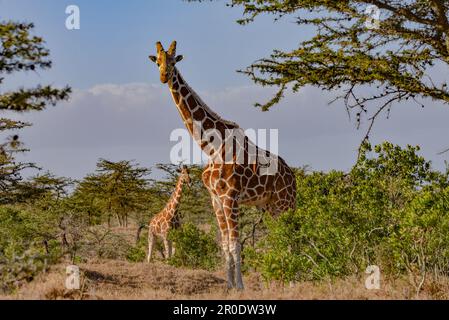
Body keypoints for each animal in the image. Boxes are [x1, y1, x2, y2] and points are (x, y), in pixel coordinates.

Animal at [148, 40, 298, 290]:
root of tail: (293, 176)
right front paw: (229, 286)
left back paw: (294, 281)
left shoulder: (231, 197)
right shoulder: (215, 199)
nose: (163, 76)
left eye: (173, 61)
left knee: (292, 236)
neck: (211, 147)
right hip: (270, 206)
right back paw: (284, 280)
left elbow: (236, 244)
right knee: (281, 237)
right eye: (157, 61)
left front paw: (241, 287)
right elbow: (226, 244)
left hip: (285, 203)